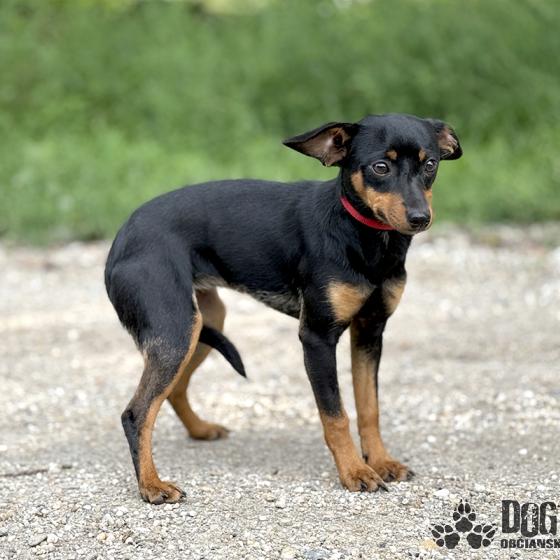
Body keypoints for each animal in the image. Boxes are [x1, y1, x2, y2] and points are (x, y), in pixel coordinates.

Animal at [105, 113, 462, 504]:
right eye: (380, 167)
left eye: (430, 165)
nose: (420, 217)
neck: (365, 238)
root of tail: (120, 240)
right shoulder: (317, 338)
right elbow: (336, 415)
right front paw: (354, 472)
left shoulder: (370, 332)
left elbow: (369, 408)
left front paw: (381, 461)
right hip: (176, 330)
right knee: (137, 413)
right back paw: (151, 485)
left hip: (200, 325)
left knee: (174, 389)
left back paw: (199, 430)